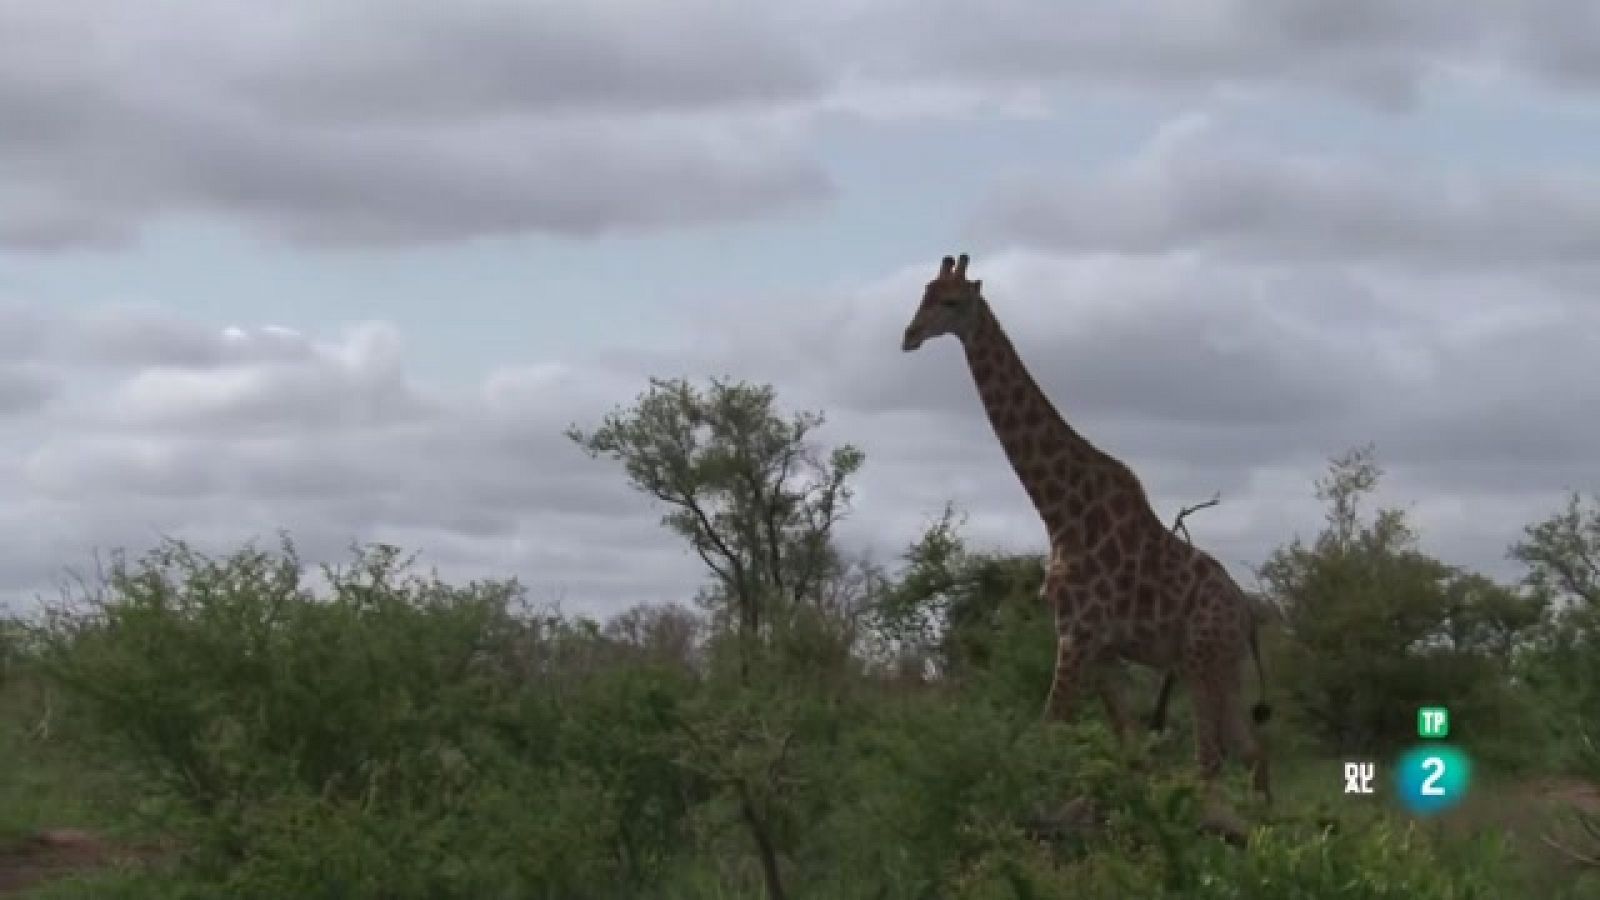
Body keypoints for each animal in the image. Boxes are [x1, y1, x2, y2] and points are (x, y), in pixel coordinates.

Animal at [902, 248, 1273, 800]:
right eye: (923, 294)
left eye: (950, 302)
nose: (909, 335)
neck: (1058, 511)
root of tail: (1247, 616)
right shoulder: (1097, 646)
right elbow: (1129, 746)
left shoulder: (1076, 635)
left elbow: (1049, 730)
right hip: (1220, 667)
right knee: (1251, 755)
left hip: (1201, 661)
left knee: (1210, 759)